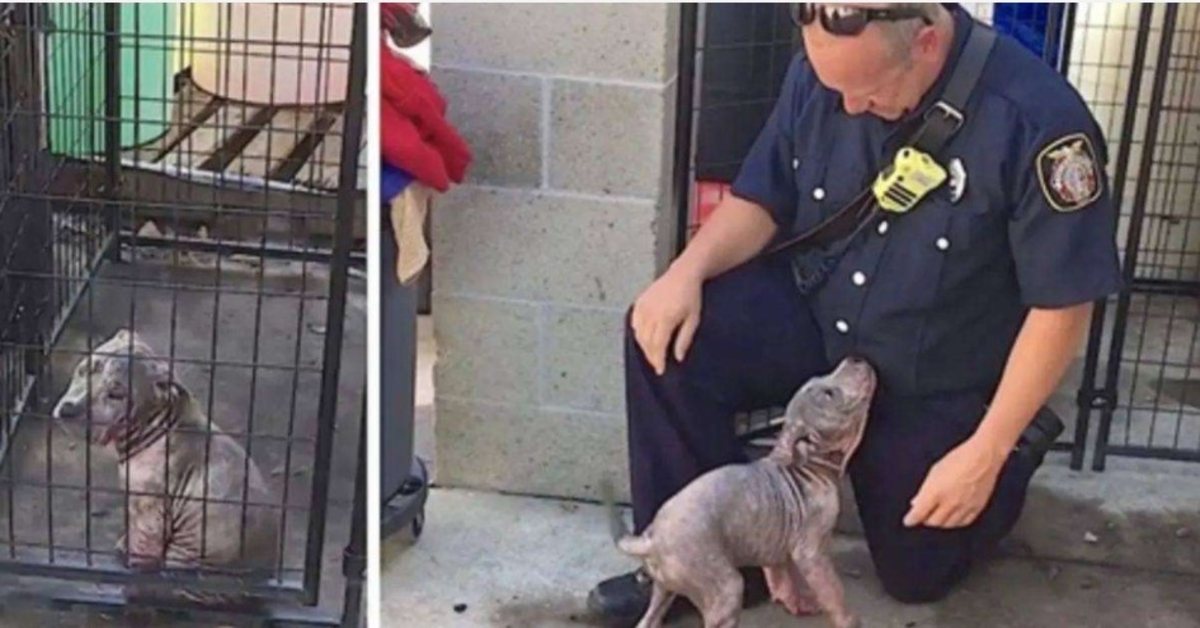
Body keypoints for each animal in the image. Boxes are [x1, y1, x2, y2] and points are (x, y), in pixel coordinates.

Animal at [51, 329, 280, 609]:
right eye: (84, 369)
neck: (156, 422)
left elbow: (143, 544)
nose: (69, 409)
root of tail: (259, 588)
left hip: (190, 561)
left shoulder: (150, 509)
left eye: (116, 394)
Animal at [604, 355, 878, 628]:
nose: (855, 358)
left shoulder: (782, 543)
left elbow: (783, 572)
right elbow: (833, 591)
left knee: (649, 619)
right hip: (723, 587)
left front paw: (795, 600)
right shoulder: (811, 552)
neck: (808, 464)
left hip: (664, 586)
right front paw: (848, 619)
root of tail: (652, 539)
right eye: (829, 394)